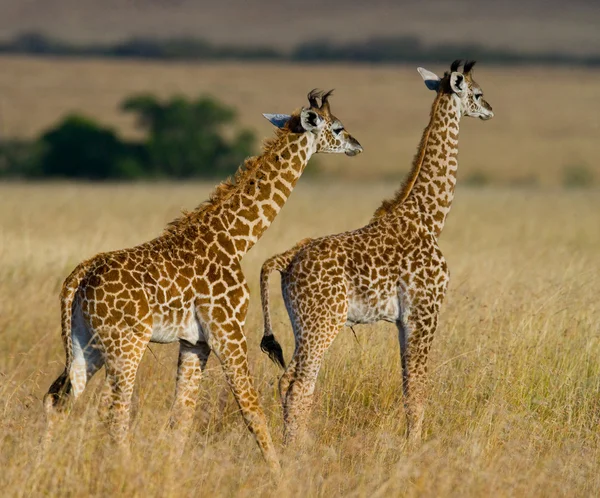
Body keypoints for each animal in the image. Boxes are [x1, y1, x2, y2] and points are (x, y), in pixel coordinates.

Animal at [43, 90, 360, 470]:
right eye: (338, 128)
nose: (357, 144)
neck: (235, 239)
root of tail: (79, 277)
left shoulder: (195, 341)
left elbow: (182, 416)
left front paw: (172, 471)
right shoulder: (229, 329)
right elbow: (251, 409)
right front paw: (280, 474)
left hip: (85, 342)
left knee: (57, 397)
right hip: (125, 344)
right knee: (112, 410)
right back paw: (124, 470)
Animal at [260, 60, 494, 446]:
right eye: (477, 93)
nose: (490, 109)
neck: (430, 217)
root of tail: (286, 261)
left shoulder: (402, 319)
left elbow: (406, 384)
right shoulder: (425, 311)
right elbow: (418, 390)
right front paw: (414, 447)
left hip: (301, 324)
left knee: (286, 381)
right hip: (324, 323)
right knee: (299, 387)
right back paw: (297, 452)